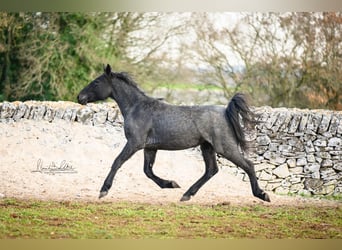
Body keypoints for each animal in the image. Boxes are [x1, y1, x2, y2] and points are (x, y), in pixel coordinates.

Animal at [77, 65, 270, 203]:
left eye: (96, 82)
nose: (80, 97)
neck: (137, 108)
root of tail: (225, 111)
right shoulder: (150, 147)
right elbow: (148, 171)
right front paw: (170, 184)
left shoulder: (134, 143)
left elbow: (117, 162)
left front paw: (103, 190)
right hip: (207, 147)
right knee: (211, 170)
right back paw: (186, 194)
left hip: (225, 147)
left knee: (248, 165)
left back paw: (262, 195)